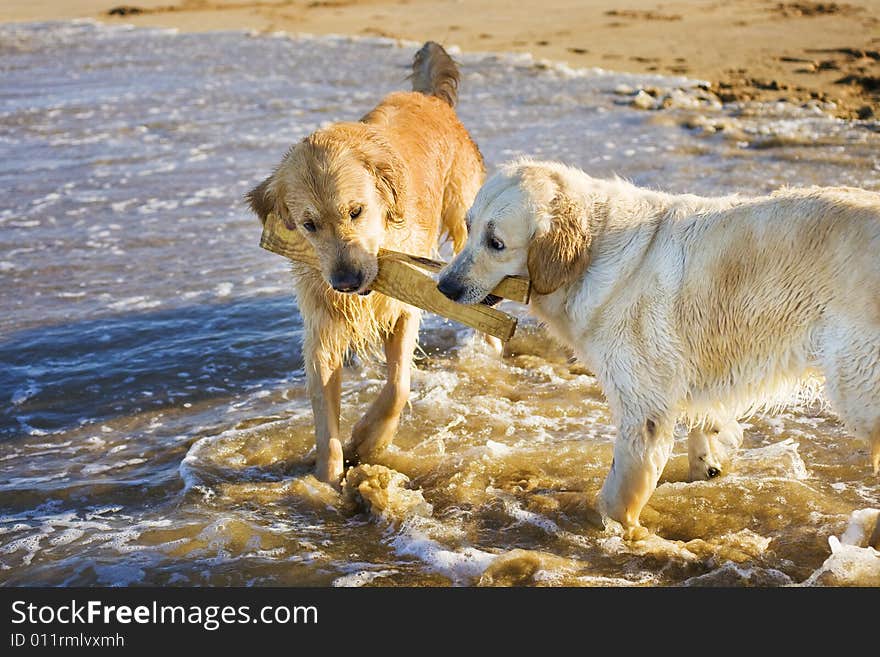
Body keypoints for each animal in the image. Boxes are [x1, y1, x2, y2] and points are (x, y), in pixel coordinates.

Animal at [244, 41, 484, 482]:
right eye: (309, 224)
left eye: (356, 211)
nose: (346, 282)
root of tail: (427, 97)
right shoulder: (322, 324)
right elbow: (325, 418)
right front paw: (327, 479)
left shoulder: (403, 308)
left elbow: (398, 385)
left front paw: (369, 441)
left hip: (463, 211)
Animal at [438, 159, 880, 544]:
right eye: (468, 227)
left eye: (496, 243)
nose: (444, 286)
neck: (594, 250)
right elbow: (704, 428)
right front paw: (708, 465)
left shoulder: (642, 406)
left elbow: (619, 493)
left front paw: (621, 535)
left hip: (858, 384)